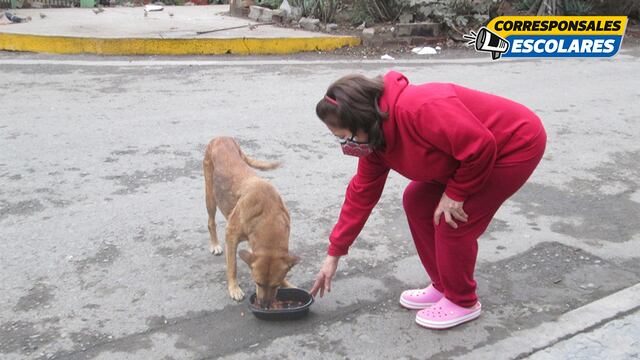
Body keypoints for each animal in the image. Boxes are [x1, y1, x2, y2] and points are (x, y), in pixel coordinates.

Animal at [204, 136, 298, 306]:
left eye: (275, 285)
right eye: (258, 282)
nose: (265, 306)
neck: (268, 219)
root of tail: (222, 137)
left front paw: (287, 284)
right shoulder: (231, 236)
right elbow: (232, 266)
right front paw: (234, 288)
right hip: (210, 196)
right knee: (211, 222)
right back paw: (214, 244)